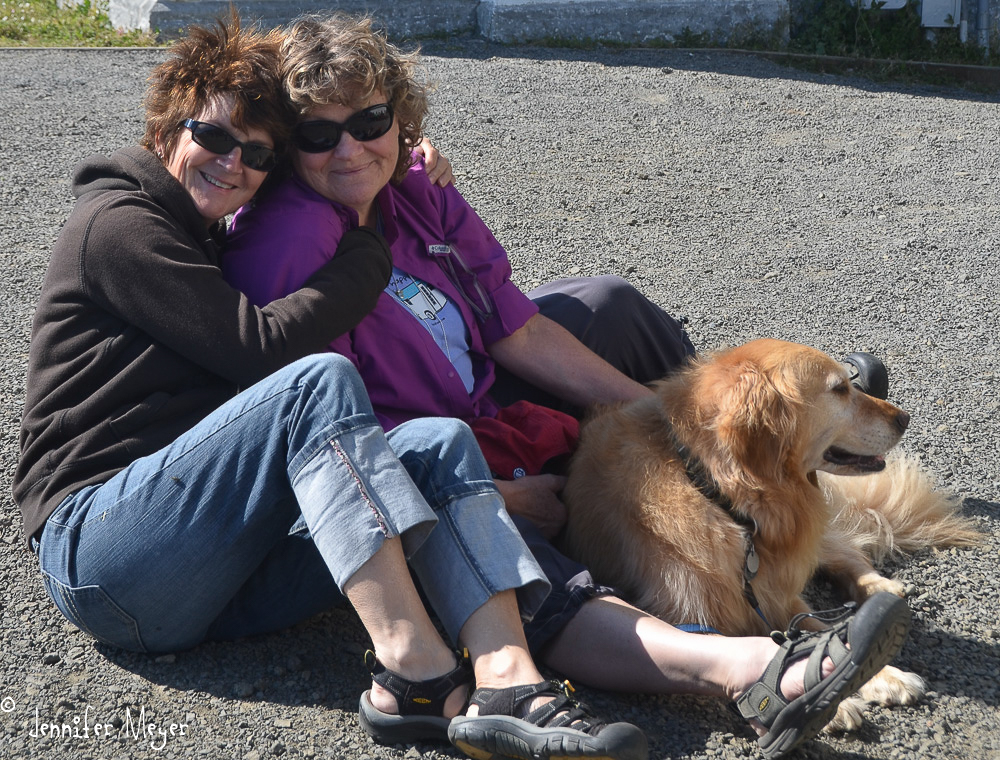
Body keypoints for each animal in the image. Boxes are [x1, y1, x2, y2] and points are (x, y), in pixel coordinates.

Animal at [568, 338, 980, 732]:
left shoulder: (778, 590)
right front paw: (830, 701)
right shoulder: (690, 616)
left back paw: (880, 587)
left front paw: (884, 675)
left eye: (849, 384)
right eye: (839, 389)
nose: (904, 417)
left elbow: (822, 632)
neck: (716, 492)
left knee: (845, 552)